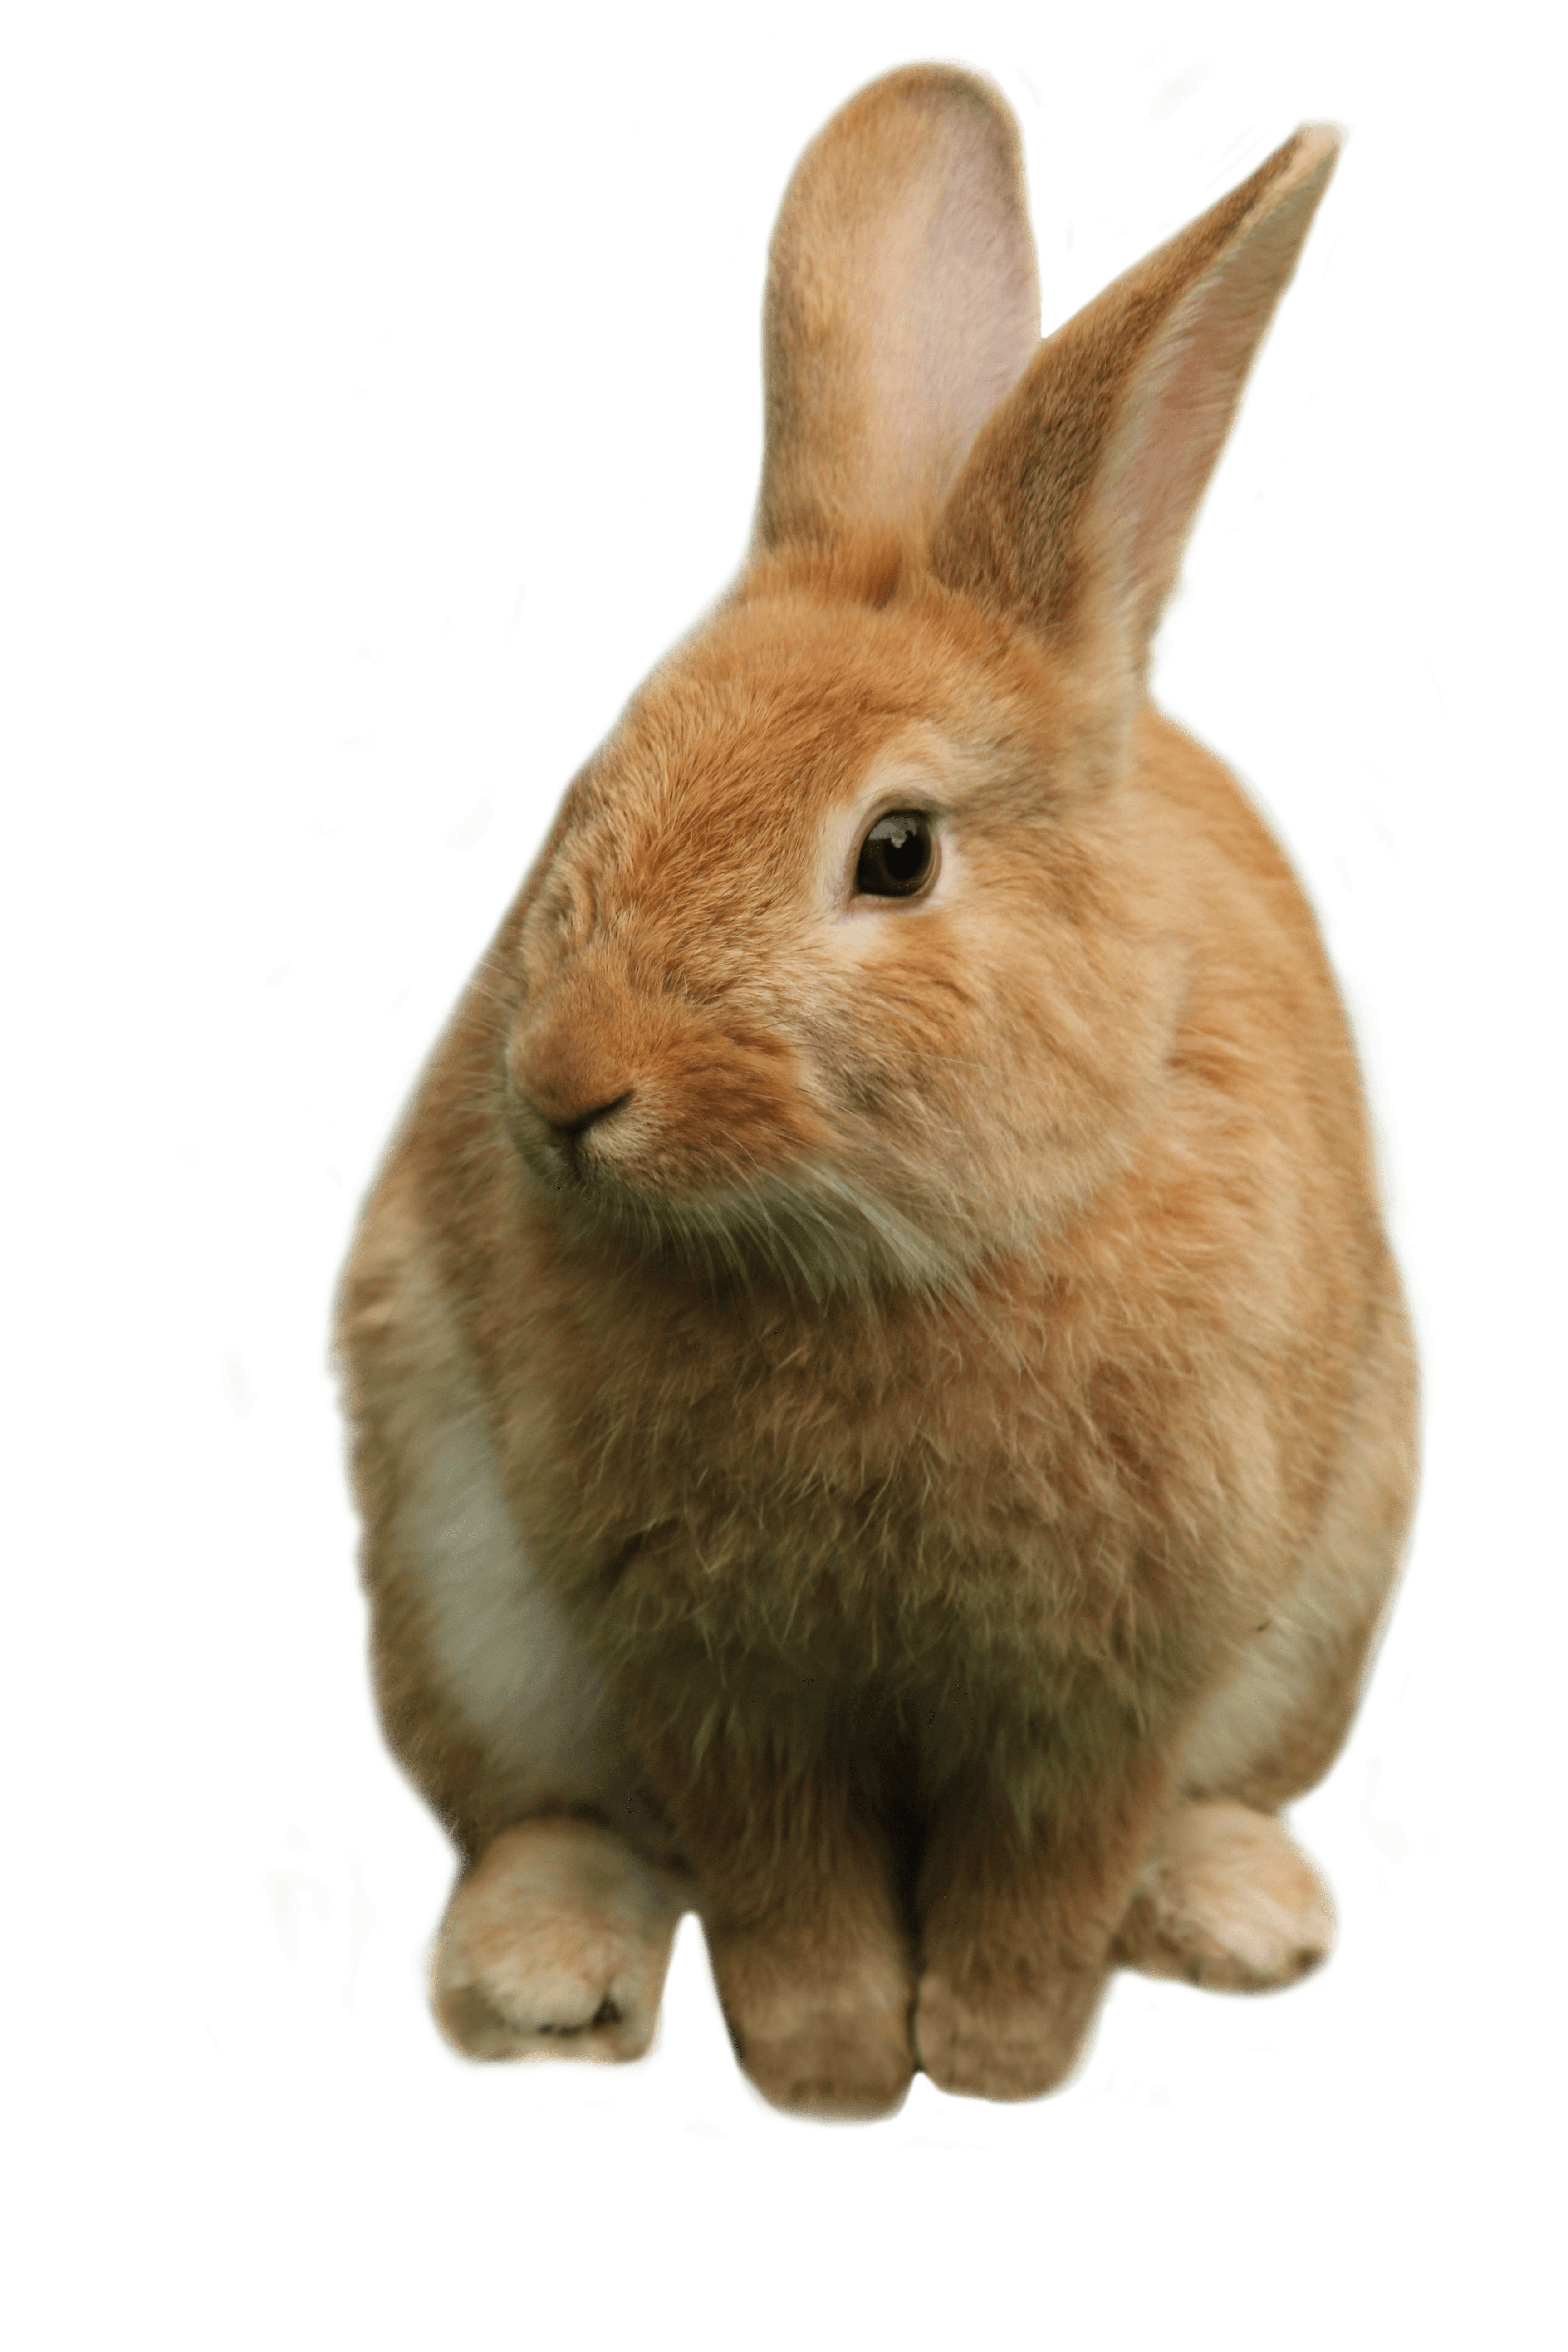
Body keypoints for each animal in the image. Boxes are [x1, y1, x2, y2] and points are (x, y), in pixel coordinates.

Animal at [323, 56, 1425, 2124]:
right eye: (600, 786)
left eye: (896, 854)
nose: (571, 1091)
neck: (898, 1259)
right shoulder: (720, 1684)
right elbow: (783, 1888)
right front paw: (834, 2078)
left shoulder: (1104, 1690)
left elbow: (1041, 1881)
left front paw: (994, 2065)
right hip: (449, 1591)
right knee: (562, 1819)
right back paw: (534, 1984)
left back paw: (1244, 1915)